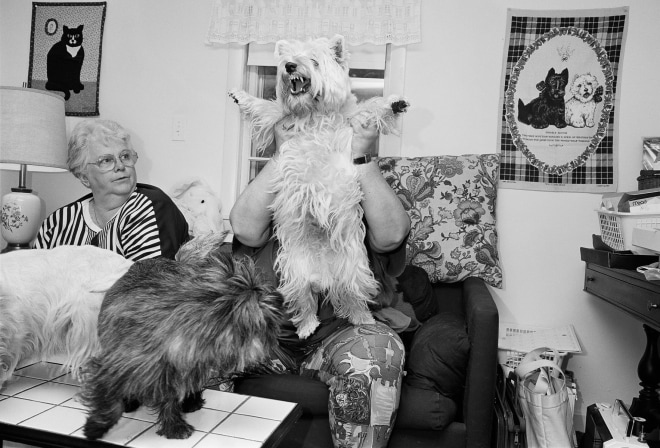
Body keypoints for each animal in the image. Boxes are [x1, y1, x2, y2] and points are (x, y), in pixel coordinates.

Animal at [80, 238, 284, 440]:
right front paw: (95, 427)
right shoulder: (115, 366)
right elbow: (110, 403)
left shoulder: (173, 374)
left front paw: (173, 425)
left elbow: (169, 399)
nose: (280, 298)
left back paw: (191, 401)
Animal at [231, 33, 408, 338]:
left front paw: (394, 103)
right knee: (304, 301)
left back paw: (362, 319)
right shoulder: (278, 117)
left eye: (314, 60)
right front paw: (241, 97)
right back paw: (307, 326)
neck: (312, 115)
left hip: (356, 269)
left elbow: (371, 107)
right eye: (287, 59)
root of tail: (324, 276)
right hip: (293, 272)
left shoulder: (353, 119)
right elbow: (264, 108)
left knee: (354, 296)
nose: (290, 66)